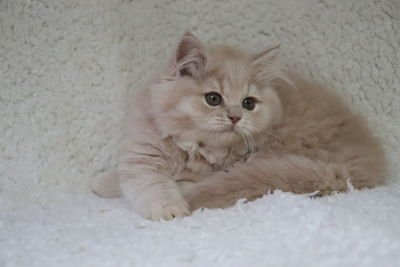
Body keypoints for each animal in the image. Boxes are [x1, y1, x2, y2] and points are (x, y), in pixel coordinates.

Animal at [90, 33, 384, 222]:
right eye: (213, 99)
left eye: (248, 103)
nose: (234, 117)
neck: (188, 147)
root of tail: (367, 158)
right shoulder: (144, 153)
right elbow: (135, 178)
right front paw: (102, 181)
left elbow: (157, 187)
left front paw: (171, 208)